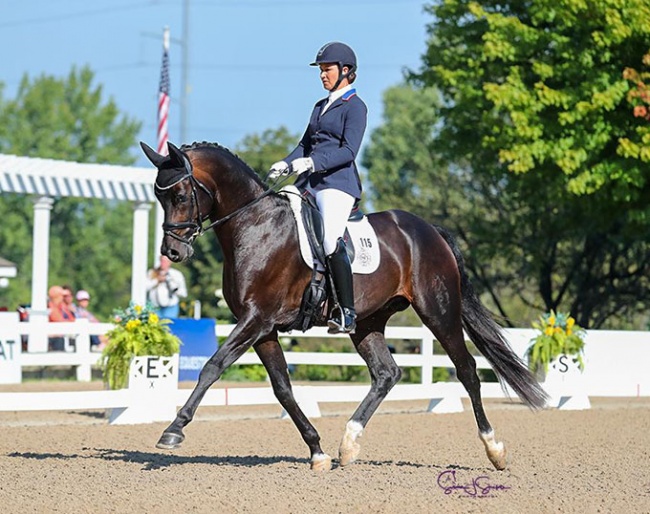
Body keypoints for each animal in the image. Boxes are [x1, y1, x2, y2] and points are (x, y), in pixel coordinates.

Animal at [139, 139, 544, 468]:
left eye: (180, 195)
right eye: (159, 198)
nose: (172, 253)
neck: (255, 225)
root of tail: (430, 230)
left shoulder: (255, 320)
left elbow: (213, 367)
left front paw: (173, 430)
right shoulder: (263, 328)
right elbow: (282, 388)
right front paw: (317, 451)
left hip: (439, 312)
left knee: (467, 371)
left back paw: (494, 449)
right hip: (367, 322)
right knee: (386, 373)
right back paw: (348, 444)